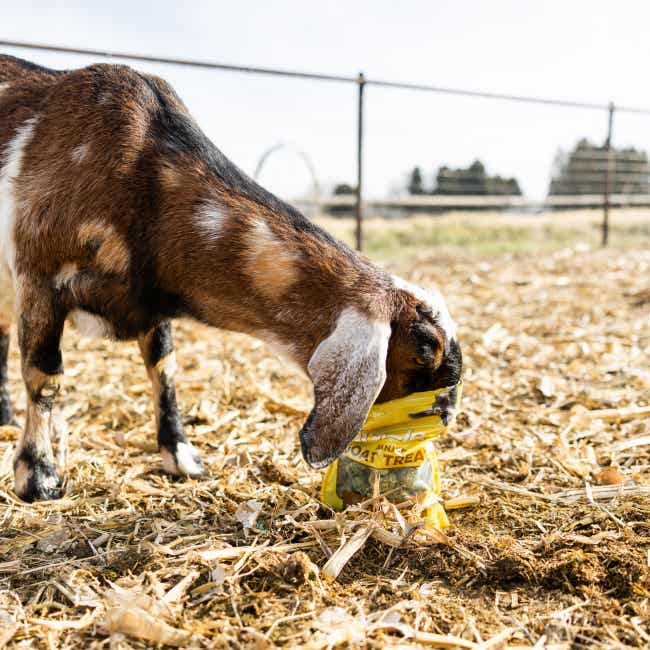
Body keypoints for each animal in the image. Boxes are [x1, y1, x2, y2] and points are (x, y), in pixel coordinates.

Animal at [0, 55, 462, 503]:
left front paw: (182, 457)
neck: (143, 178)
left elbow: (164, 369)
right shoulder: (38, 277)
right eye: (424, 348)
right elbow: (44, 376)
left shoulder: (150, 304)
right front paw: (37, 478)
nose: (447, 410)